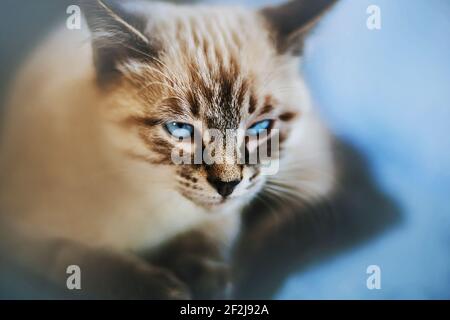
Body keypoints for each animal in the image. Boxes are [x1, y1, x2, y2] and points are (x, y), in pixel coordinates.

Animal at [0, 0, 338, 300]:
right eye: (180, 130)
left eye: (259, 128)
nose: (227, 185)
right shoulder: (20, 232)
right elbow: (78, 259)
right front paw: (162, 289)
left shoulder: (224, 215)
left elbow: (208, 239)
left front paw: (208, 280)